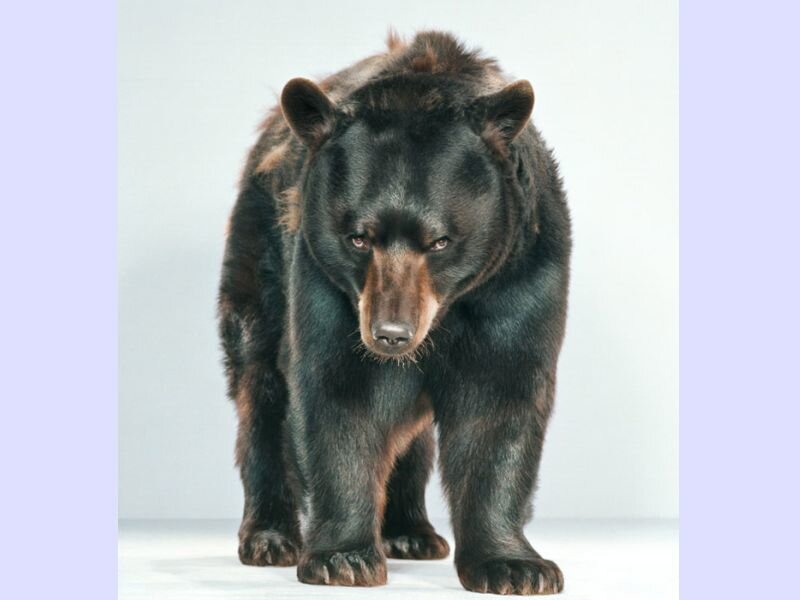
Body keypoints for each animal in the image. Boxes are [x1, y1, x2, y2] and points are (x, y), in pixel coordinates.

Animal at [218, 30, 571, 595]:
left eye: (441, 241)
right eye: (358, 237)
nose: (390, 334)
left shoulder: (520, 276)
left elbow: (501, 402)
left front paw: (516, 566)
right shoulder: (326, 283)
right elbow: (339, 395)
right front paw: (343, 558)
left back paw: (412, 532)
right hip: (261, 256)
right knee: (261, 385)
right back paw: (269, 536)